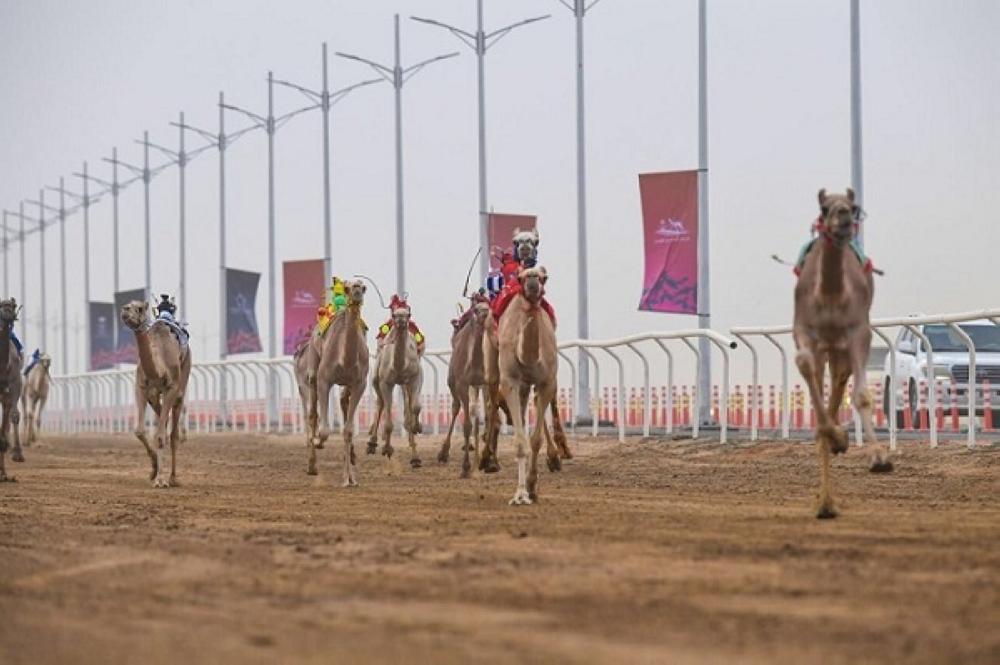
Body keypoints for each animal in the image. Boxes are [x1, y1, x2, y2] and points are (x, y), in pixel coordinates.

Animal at [121, 300, 193, 488]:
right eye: (128, 305)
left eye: (139, 308)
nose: (125, 310)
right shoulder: (141, 387)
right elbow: (139, 431)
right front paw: (153, 471)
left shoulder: (171, 388)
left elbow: (160, 435)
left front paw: (160, 480)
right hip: (154, 398)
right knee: (164, 422)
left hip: (182, 382)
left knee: (173, 434)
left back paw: (173, 478)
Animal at [304, 278, 372, 486]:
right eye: (349, 288)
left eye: (363, 287)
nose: (357, 291)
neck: (345, 359)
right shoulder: (324, 379)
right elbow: (325, 429)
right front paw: (317, 441)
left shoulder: (359, 383)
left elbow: (348, 430)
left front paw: (349, 479)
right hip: (313, 367)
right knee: (312, 414)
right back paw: (312, 465)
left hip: (347, 385)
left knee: (343, 401)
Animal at [368, 306, 422, 466]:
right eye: (395, 314)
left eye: (408, 314)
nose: (401, 320)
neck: (399, 365)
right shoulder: (386, 382)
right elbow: (388, 422)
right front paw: (386, 449)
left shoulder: (414, 378)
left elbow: (415, 407)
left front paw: (417, 428)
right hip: (376, 379)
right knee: (380, 403)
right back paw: (372, 444)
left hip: (404, 385)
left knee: (406, 407)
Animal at [492, 264, 564, 504]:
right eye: (521, 277)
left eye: (544, 277)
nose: (532, 283)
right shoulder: (510, 382)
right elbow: (520, 441)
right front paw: (520, 494)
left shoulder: (546, 382)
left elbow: (535, 440)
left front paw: (532, 487)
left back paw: (554, 458)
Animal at [792, 187, 896, 520]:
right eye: (824, 208)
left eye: (853, 206)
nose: (844, 217)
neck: (830, 295)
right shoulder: (804, 330)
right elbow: (804, 365)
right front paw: (837, 438)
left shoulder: (858, 332)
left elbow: (861, 395)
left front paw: (879, 457)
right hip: (828, 349)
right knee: (825, 388)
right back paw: (825, 502)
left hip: (840, 352)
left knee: (839, 385)